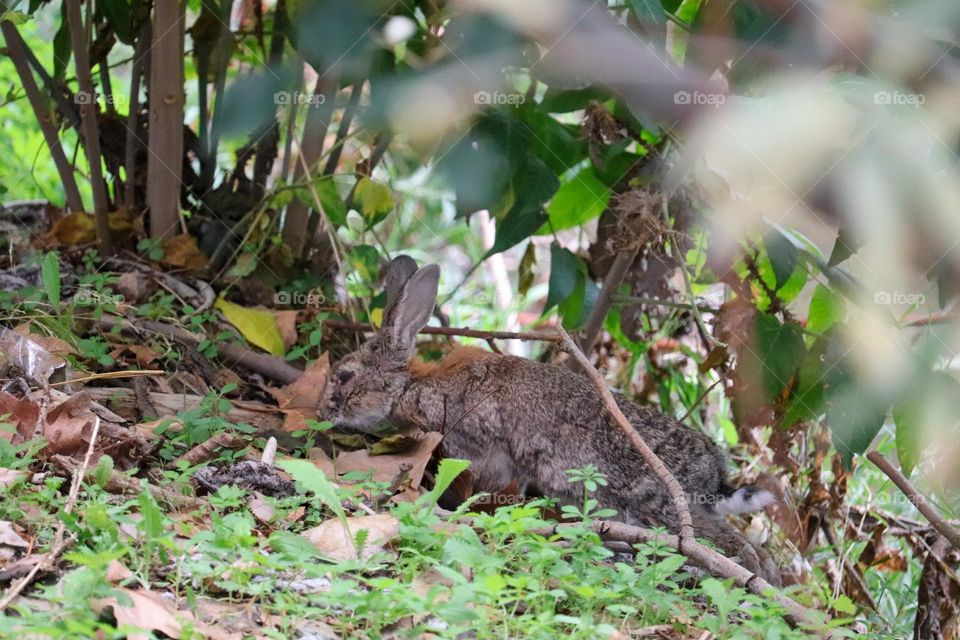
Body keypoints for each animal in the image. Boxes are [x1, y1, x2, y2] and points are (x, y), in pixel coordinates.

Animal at [322, 254, 780, 580]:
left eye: (345, 376)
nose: (324, 410)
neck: (413, 385)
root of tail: (714, 475)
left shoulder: (481, 451)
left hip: (665, 506)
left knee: (734, 547)